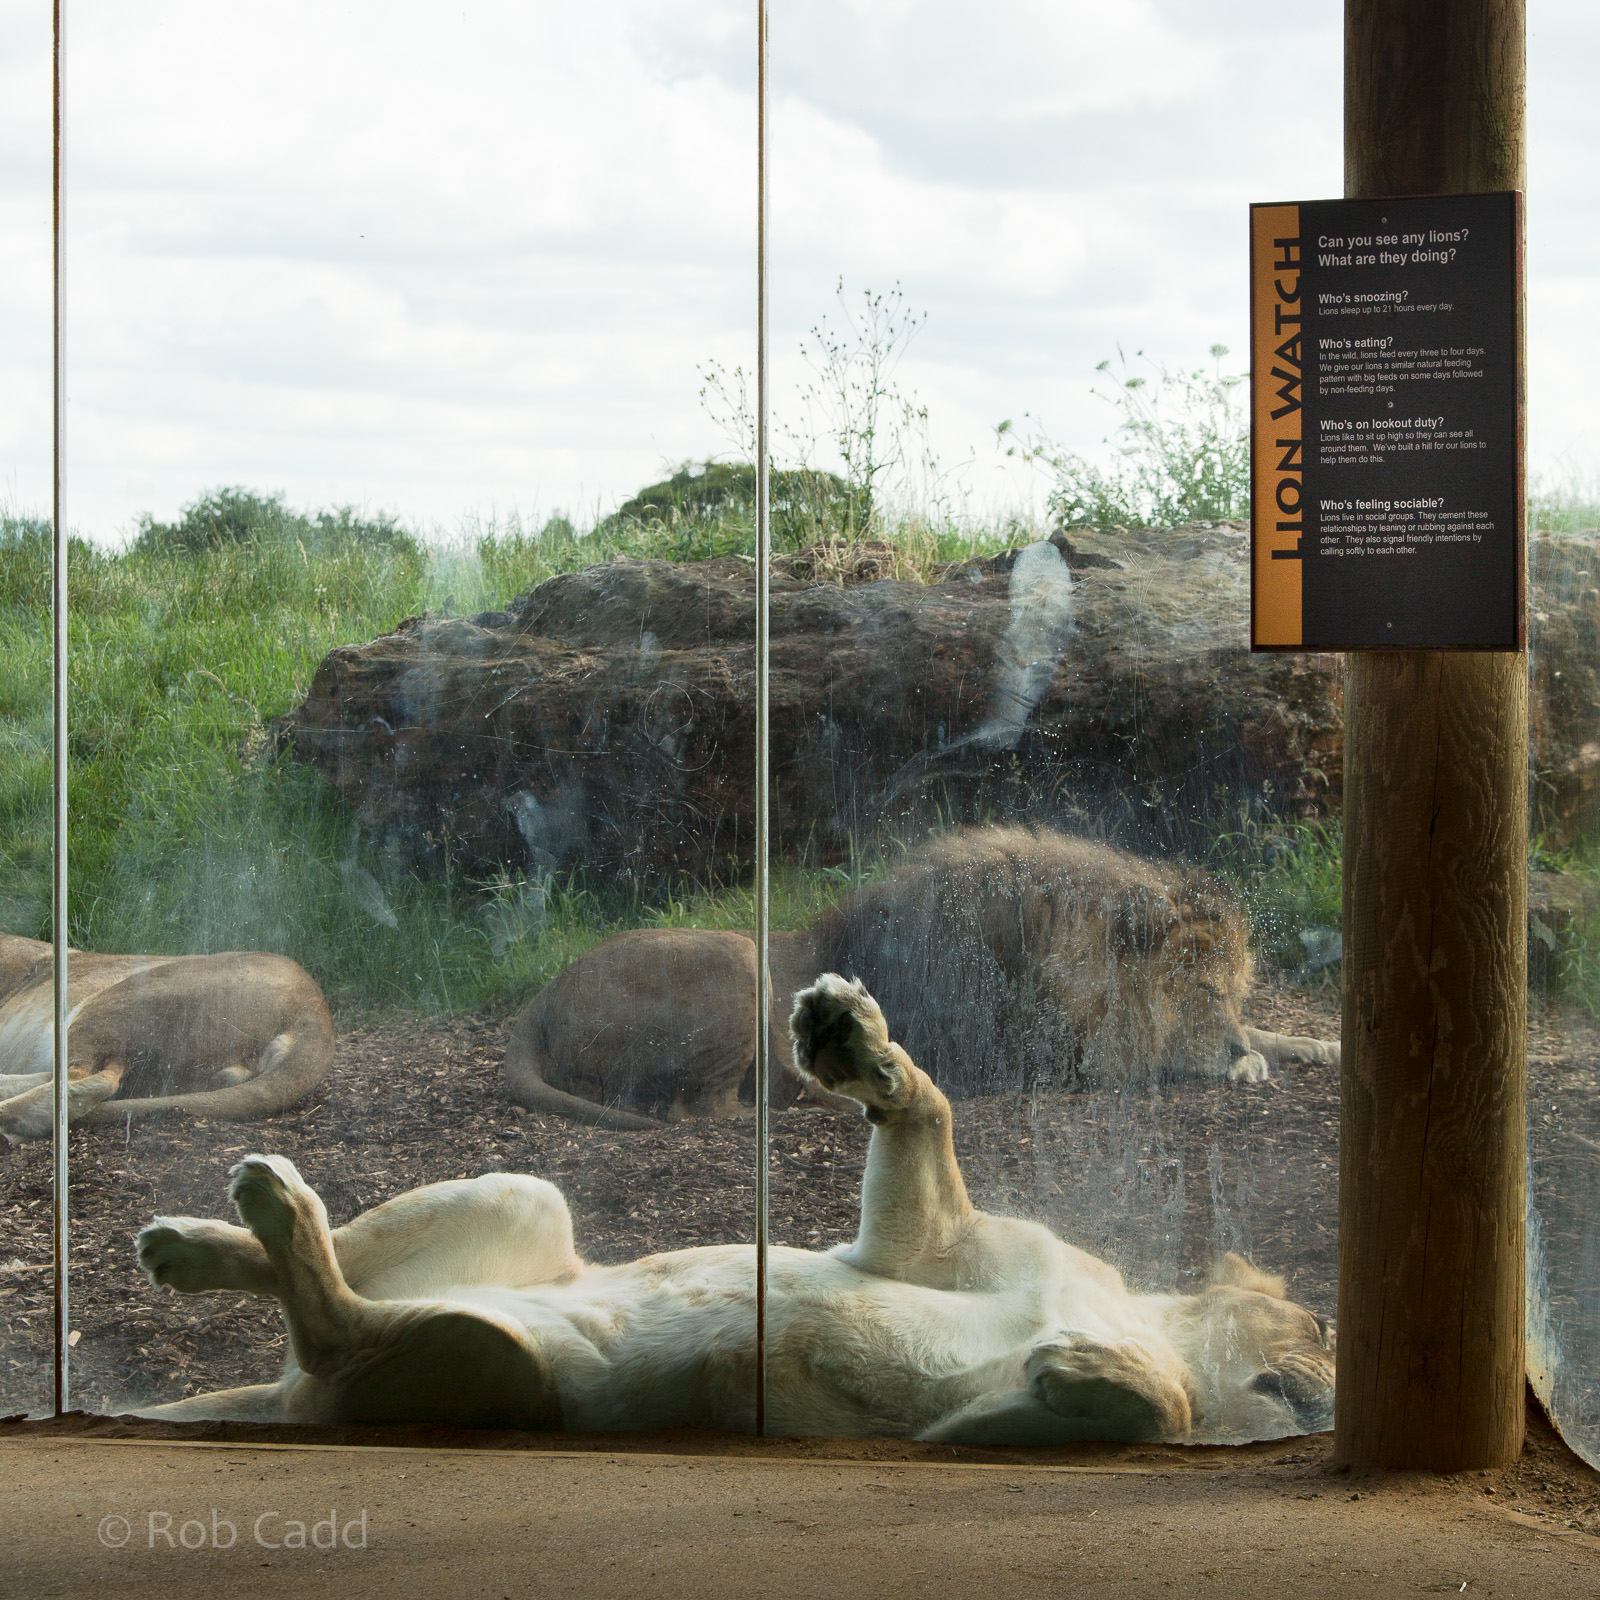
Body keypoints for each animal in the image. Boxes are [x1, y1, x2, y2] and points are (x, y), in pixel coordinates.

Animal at [134, 974, 1335, 1443]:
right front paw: (848, 1039)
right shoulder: (922, 1245)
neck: (1141, 1312)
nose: (1329, 1370)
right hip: (524, 1195)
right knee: (333, 1282)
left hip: (499, 1367)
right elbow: (929, 1116)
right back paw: (201, 1238)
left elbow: (1161, 1409)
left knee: (342, 1330)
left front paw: (1086, 1370)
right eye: (1321, 1320)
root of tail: (279, 1399)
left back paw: (255, 1210)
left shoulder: (952, 1424)